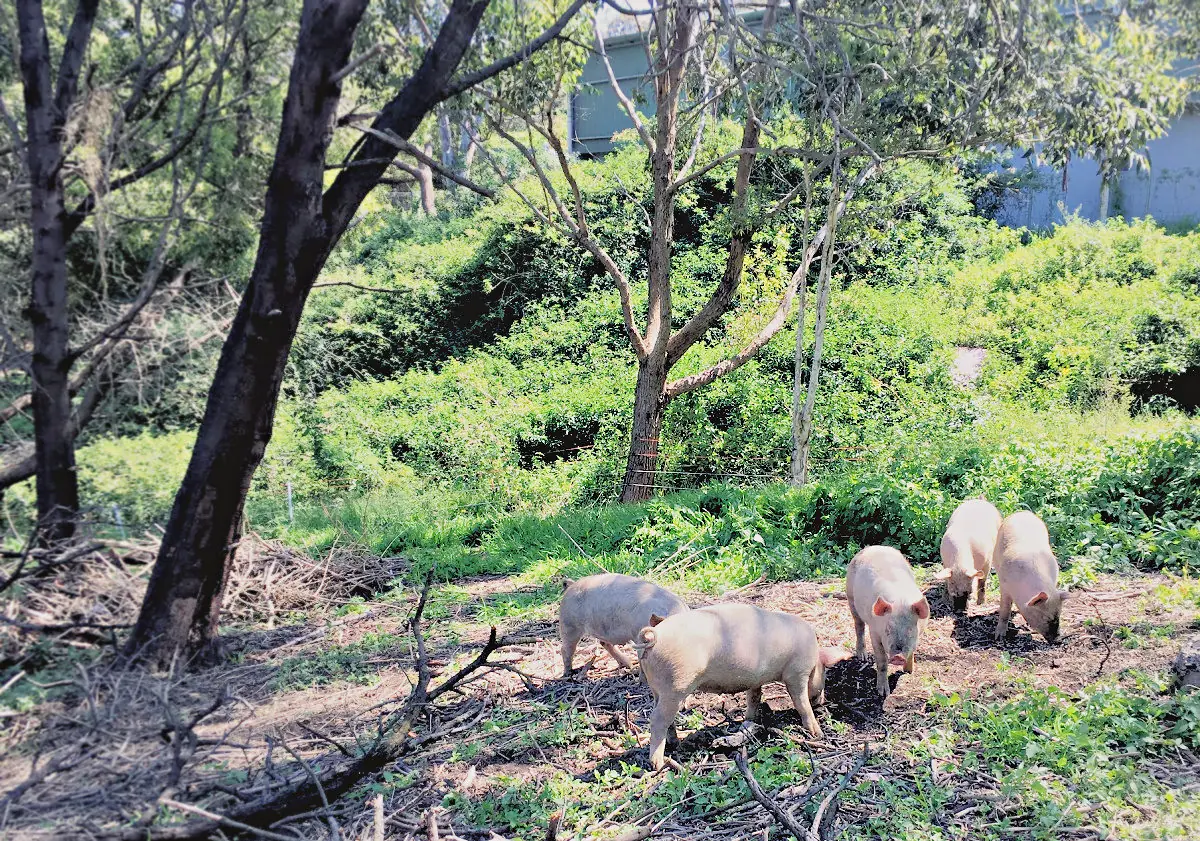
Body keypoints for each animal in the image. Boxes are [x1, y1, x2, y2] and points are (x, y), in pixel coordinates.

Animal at [558, 573, 688, 678]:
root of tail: (571, 585)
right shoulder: (638, 635)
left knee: (604, 642)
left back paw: (628, 665)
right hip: (569, 624)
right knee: (566, 648)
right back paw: (569, 673)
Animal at [635, 603, 851, 771]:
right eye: (825, 674)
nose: (822, 701)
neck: (813, 659)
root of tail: (653, 638)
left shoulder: (756, 680)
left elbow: (754, 698)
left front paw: (750, 720)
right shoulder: (796, 673)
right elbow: (801, 702)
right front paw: (818, 733)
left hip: (658, 688)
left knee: (663, 717)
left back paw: (675, 744)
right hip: (676, 685)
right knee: (657, 719)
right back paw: (658, 763)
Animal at [846, 545, 930, 698]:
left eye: (910, 630)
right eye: (888, 629)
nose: (897, 656)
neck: (900, 601)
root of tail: (873, 547)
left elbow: (912, 651)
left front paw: (909, 671)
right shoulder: (874, 632)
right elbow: (882, 662)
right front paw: (883, 693)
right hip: (850, 598)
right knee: (859, 626)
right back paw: (862, 657)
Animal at [993, 511, 1068, 643]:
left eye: (1059, 614)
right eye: (1045, 617)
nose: (1059, 639)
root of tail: (1023, 512)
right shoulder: (1004, 585)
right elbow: (1005, 609)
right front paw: (999, 637)